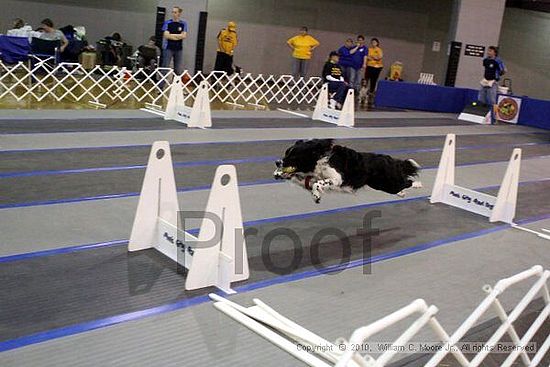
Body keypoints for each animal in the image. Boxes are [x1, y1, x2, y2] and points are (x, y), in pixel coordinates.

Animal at [274, 139, 422, 204]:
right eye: (286, 153)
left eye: (293, 156)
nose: (277, 162)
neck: (317, 158)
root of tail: (390, 159)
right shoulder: (307, 179)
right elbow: (307, 181)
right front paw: (278, 173)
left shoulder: (337, 178)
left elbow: (318, 183)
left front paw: (316, 195)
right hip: (380, 185)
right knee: (402, 184)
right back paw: (402, 193)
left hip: (387, 184)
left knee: (408, 181)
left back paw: (419, 185)